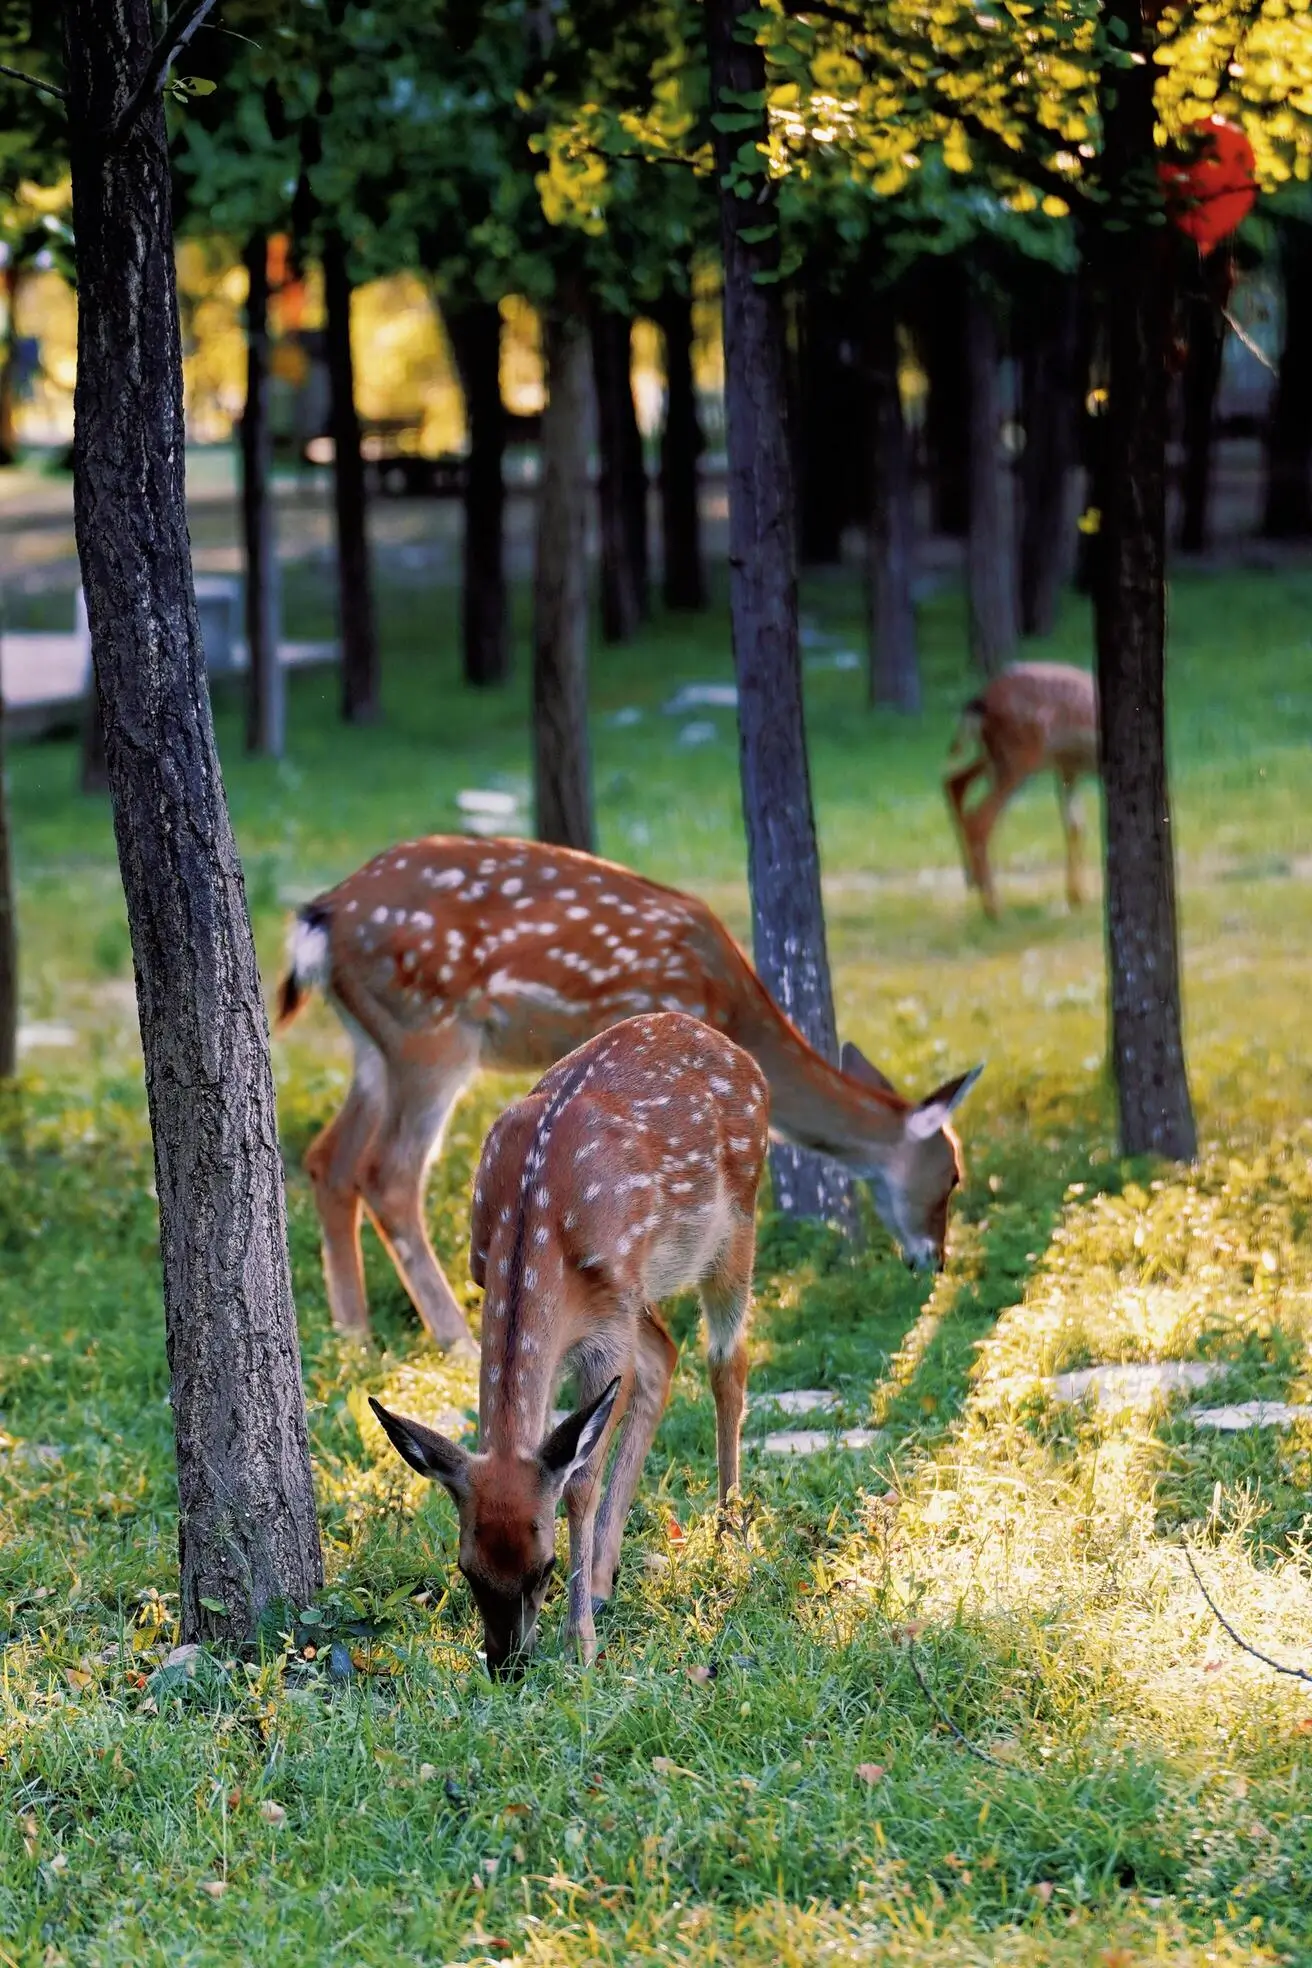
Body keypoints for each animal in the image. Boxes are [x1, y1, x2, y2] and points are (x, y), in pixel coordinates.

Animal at [275, 835, 982, 1352]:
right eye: (951, 1175)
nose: (936, 1260)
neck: (729, 1008)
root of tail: (321, 917)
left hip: (374, 1044)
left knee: (329, 1159)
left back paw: (354, 1336)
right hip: (431, 1030)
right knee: (387, 1173)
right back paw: (455, 1340)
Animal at [368, 1010, 769, 1677]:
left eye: (545, 1568)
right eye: (466, 1569)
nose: (506, 1664)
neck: (535, 1217)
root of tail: (730, 1047)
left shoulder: (607, 1323)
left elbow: (579, 1479)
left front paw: (580, 1643)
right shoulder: (518, 1286)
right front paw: (587, 1611)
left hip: (734, 1224)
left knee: (725, 1361)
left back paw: (730, 1534)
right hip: (640, 1292)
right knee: (663, 1357)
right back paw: (609, 1576)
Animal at [944, 662, 1099, 919]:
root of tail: (980, 700)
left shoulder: (1068, 767)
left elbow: (1075, 825)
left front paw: (1078, 897)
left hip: (998, 757)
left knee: (954, 781)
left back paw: (974, 880)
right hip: (1020, 756)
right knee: (980, 818)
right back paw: (994, 908)